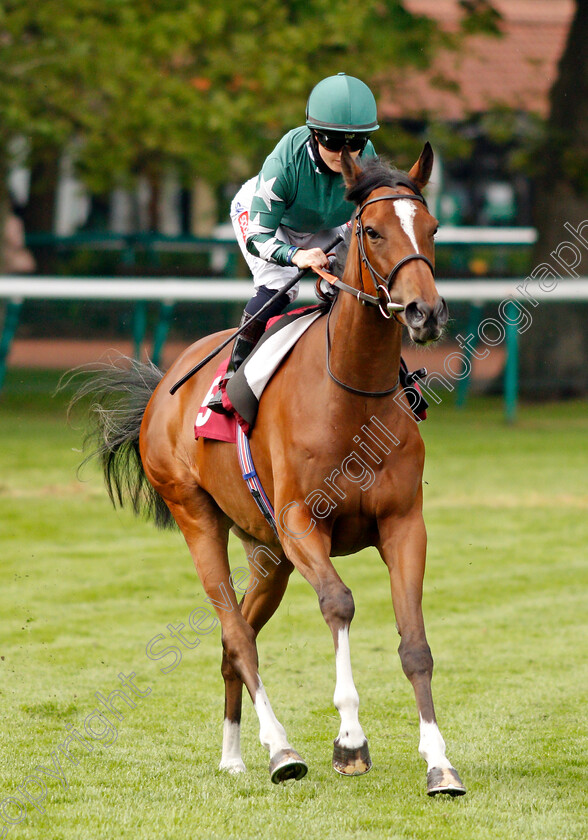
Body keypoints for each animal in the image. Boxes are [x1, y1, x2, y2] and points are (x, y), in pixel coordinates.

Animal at [77, 144, 464, 796]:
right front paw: (350, 739)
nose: (424, 312)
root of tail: (161, 387)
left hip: (269, 553)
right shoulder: (301, 521)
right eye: (372, 230)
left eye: (433, 228)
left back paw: (236, 755)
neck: (351, 393)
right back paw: (281, 750)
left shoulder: (403, 524)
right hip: (198, 516)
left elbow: (415, 643)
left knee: (237, 639)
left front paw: (439, 763)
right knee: (236, 632)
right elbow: (339, 604)